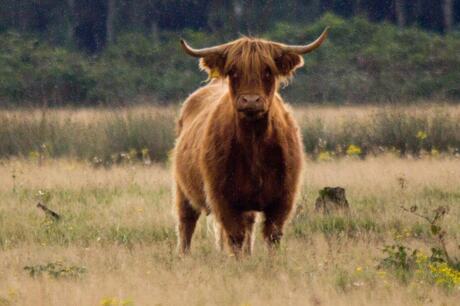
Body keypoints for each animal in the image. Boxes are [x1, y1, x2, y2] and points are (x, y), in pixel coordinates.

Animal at [172, 28, 328, 255]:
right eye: (233, 71)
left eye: (268, 71)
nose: (251, 101)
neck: (254, 143)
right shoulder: (223, 198)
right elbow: (235, 237)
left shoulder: (283, 198)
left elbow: (272, 236)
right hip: (182, 188)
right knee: (186, 223)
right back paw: (184, 255)